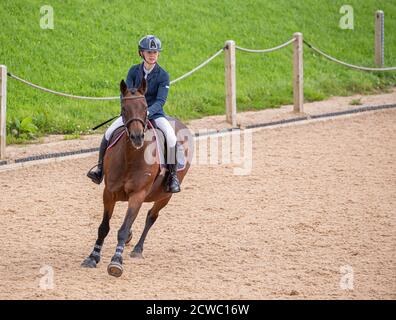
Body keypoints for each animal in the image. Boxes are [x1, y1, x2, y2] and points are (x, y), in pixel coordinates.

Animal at [83, 78, 194, 278]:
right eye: (124, 108)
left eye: (145, 107)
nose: (137, 137)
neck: (130, 156)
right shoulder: (108, 193)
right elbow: (104, 227)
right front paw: (93, 257)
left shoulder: (138, 195)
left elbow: (123, 228)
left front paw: (116, 262)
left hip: (164, 196)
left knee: (151, 216)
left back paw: (137, 249)